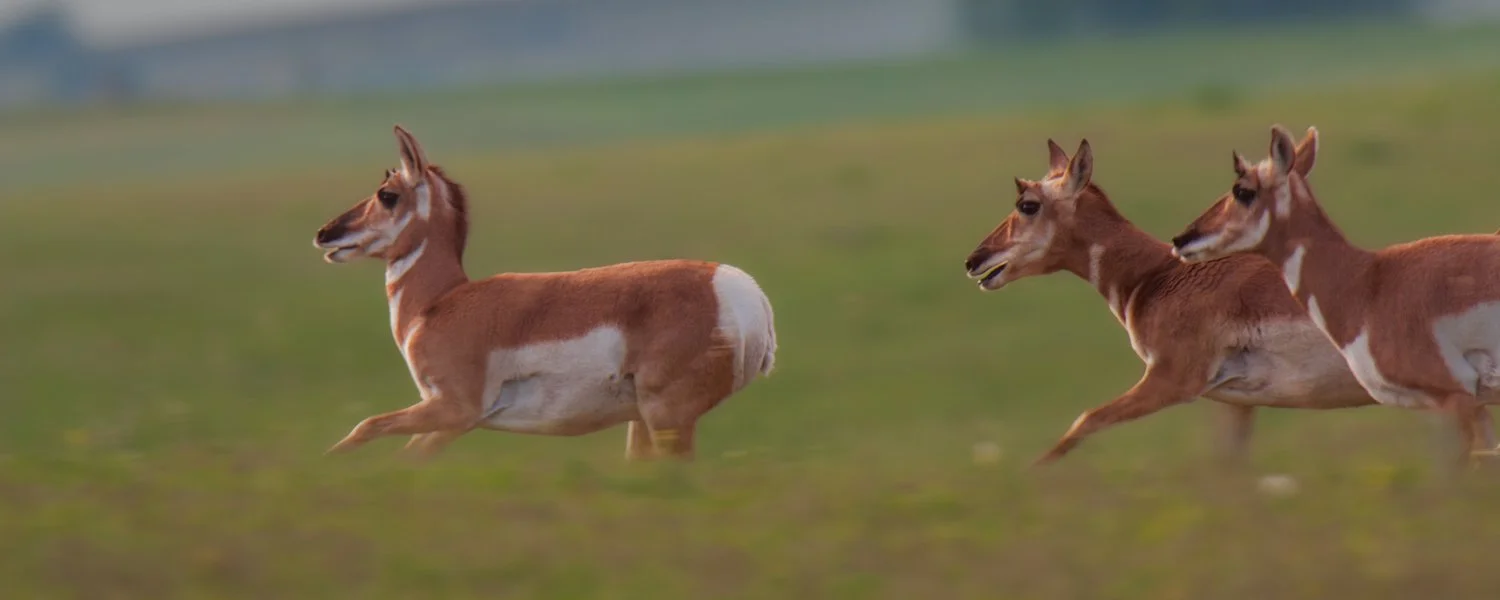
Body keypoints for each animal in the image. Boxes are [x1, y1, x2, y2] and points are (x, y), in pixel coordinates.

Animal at [311, 125, 778, 460]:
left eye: (387, 195)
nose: (324, 234)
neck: (440, 302)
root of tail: (745, 293)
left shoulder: (454, 409)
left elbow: (366, 426)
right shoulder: (453, 422)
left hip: (666, 416)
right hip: (643, 421)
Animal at [964, 136, 1387, 466]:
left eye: (1027, 204)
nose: (973, 260)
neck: (1157, 275)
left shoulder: (1169, 381)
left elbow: (1085, 420)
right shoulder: (1237, 404)